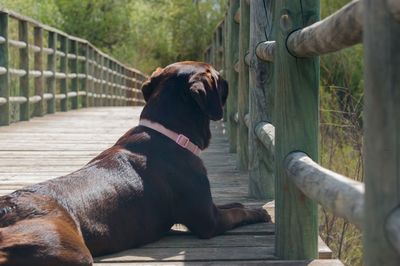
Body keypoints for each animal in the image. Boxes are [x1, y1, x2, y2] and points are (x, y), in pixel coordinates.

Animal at [0, 61, 272, 264]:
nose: (226, 81)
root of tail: (6, 208)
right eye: (217, 76)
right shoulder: (209, 221)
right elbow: (238, 213)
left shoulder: (210, 207)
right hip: (67, 247)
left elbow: (233, 204)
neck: (168, 133)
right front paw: (260, 212)